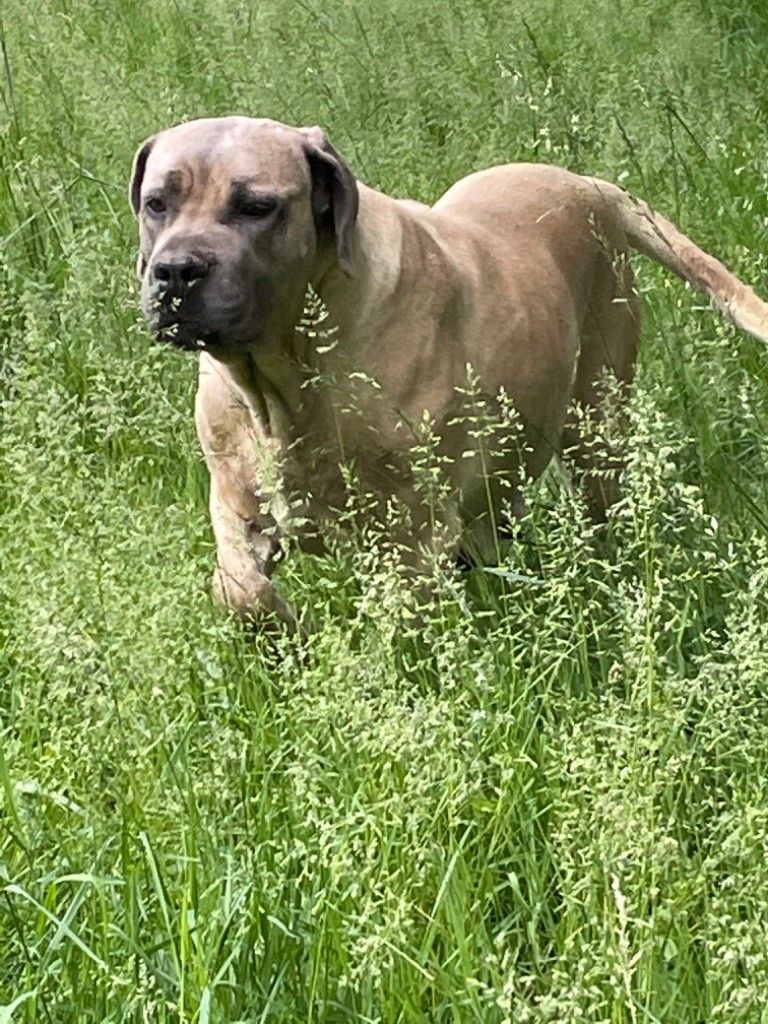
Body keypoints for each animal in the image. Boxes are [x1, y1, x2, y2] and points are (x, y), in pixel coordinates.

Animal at [129, 116, 768, 626]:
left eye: (257, 207)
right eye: (157, 203)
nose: (176, 271)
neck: (285, 379)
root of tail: (588, 186)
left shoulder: (410, 536)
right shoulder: (236, 504)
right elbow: (241, 588)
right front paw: (283, 634)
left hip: (596, 425)